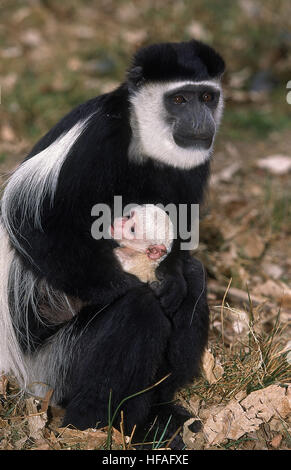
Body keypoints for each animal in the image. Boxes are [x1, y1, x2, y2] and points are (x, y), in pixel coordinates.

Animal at [0, 39, 226, 440]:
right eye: (179, 99)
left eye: (206, 96)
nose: (202, 119)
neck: (143, 144)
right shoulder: (97, 139)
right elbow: (32, 226)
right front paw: (124, 285)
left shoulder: (193, 162)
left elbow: (181, 235)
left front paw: (171, 278)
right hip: (54, 367)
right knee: (138, 311)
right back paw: (93, 426)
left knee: (196, 276)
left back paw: (158, 415)